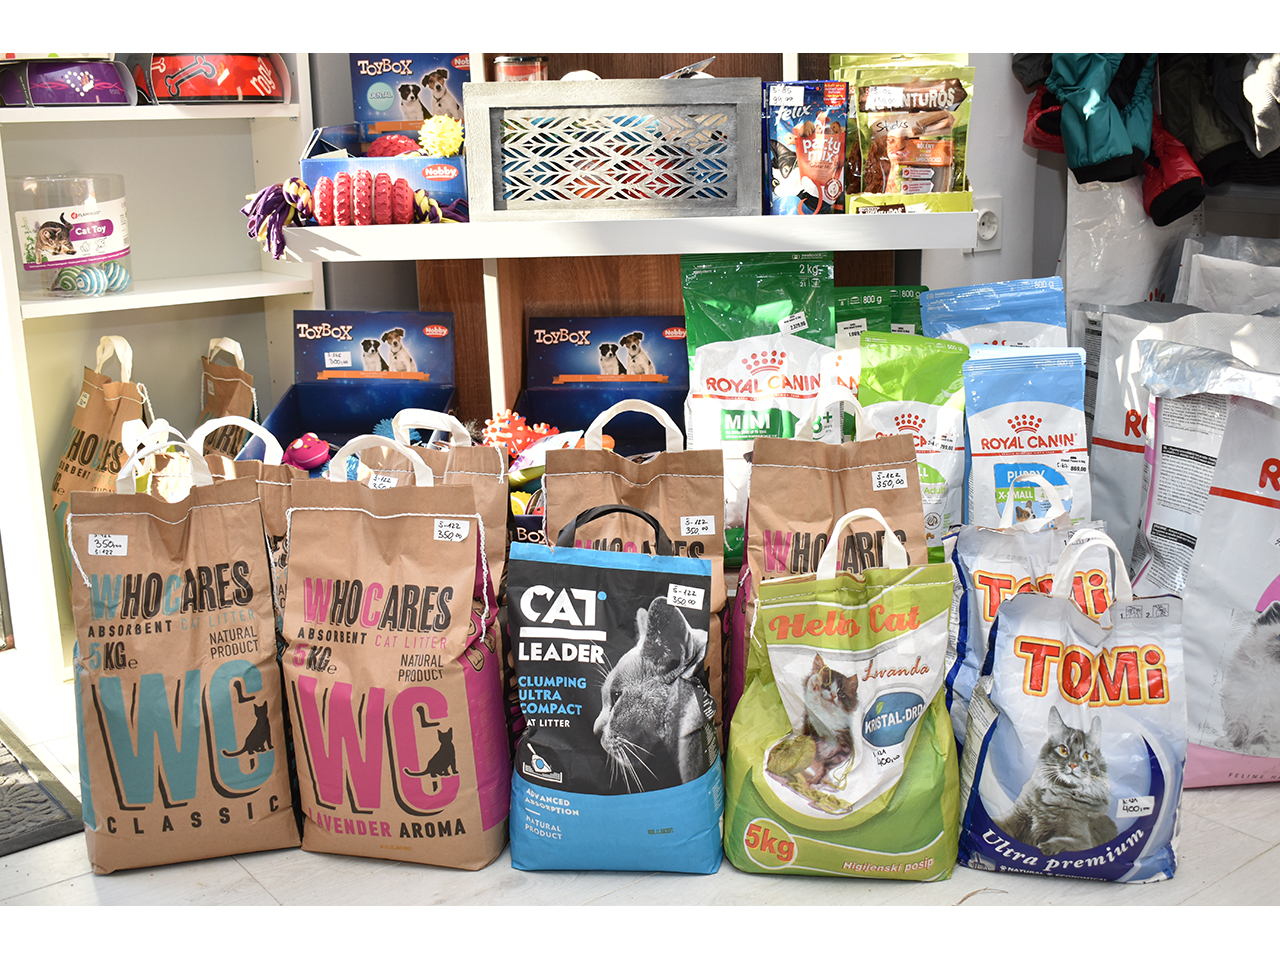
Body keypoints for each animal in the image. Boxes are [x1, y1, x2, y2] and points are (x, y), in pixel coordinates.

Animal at [995, 706, 1117, 855]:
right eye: (1063, 750)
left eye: (1086, 756)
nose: (1073, 765)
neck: (1056, 791)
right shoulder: (1014, 817)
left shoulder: (1082, 841)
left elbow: (1061, 843)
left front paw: (1044, 847)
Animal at [1216, 601, 1280, 755]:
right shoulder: (1240, 700)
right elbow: (1237, 725)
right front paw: (1232, 743)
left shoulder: (1269, 713)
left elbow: (1262, 732)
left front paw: (1257, 747)